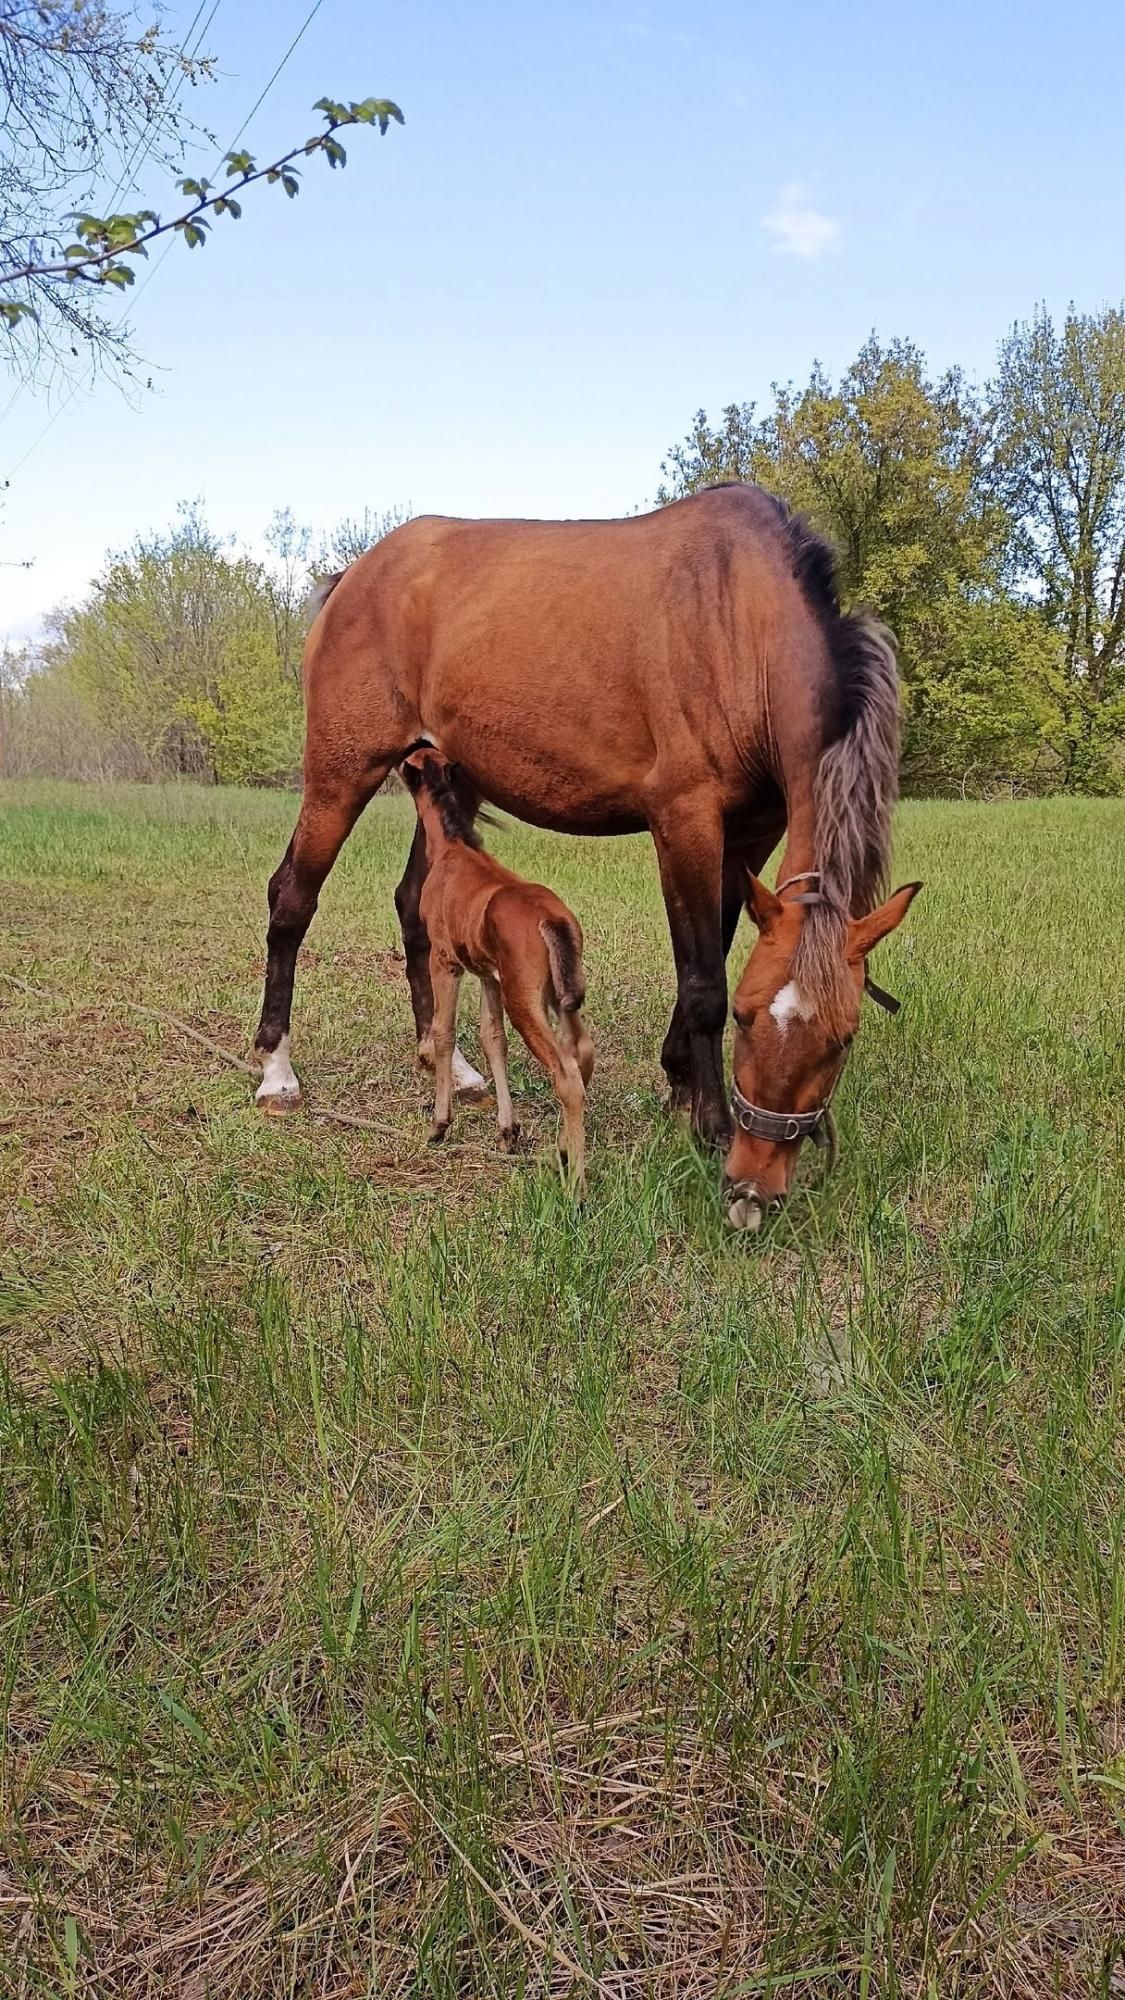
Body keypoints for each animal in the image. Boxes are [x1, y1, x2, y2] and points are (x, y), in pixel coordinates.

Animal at [400, 748, 596, 1184]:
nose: (397, 759)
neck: (453, 847)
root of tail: (552, 919)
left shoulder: (445, 960)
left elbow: (443, 1032)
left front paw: (439, 1124)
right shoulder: (489, 975)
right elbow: (493, 1039)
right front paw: (507, 1131)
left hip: (523, 999)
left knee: (566, 1073)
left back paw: (576, 1183)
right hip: (559, 994)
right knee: (582, 1053)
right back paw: (562, 1149)